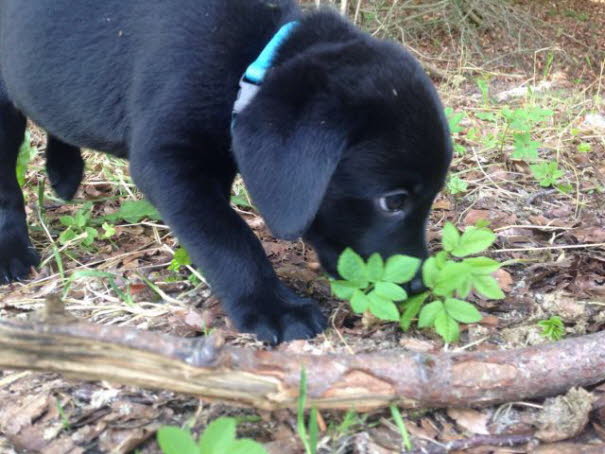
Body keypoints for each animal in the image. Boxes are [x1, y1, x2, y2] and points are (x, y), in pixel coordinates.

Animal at [0, 0, 448, 344]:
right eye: (393, 202)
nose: (418, 285)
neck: (248, 62)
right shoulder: (170, 162)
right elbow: (228, 238)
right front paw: (274, 307)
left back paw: (65, 173)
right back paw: (11, 251)